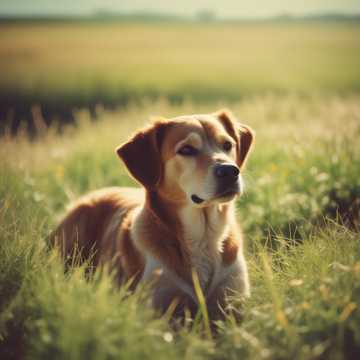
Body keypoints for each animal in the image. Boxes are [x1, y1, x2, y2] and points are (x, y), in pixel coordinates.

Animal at [50, 110, 255, 320]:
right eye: (186, 150)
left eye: (227, 145)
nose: (230, 171)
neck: (203, 236)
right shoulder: (159, 308)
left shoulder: (233, 302)